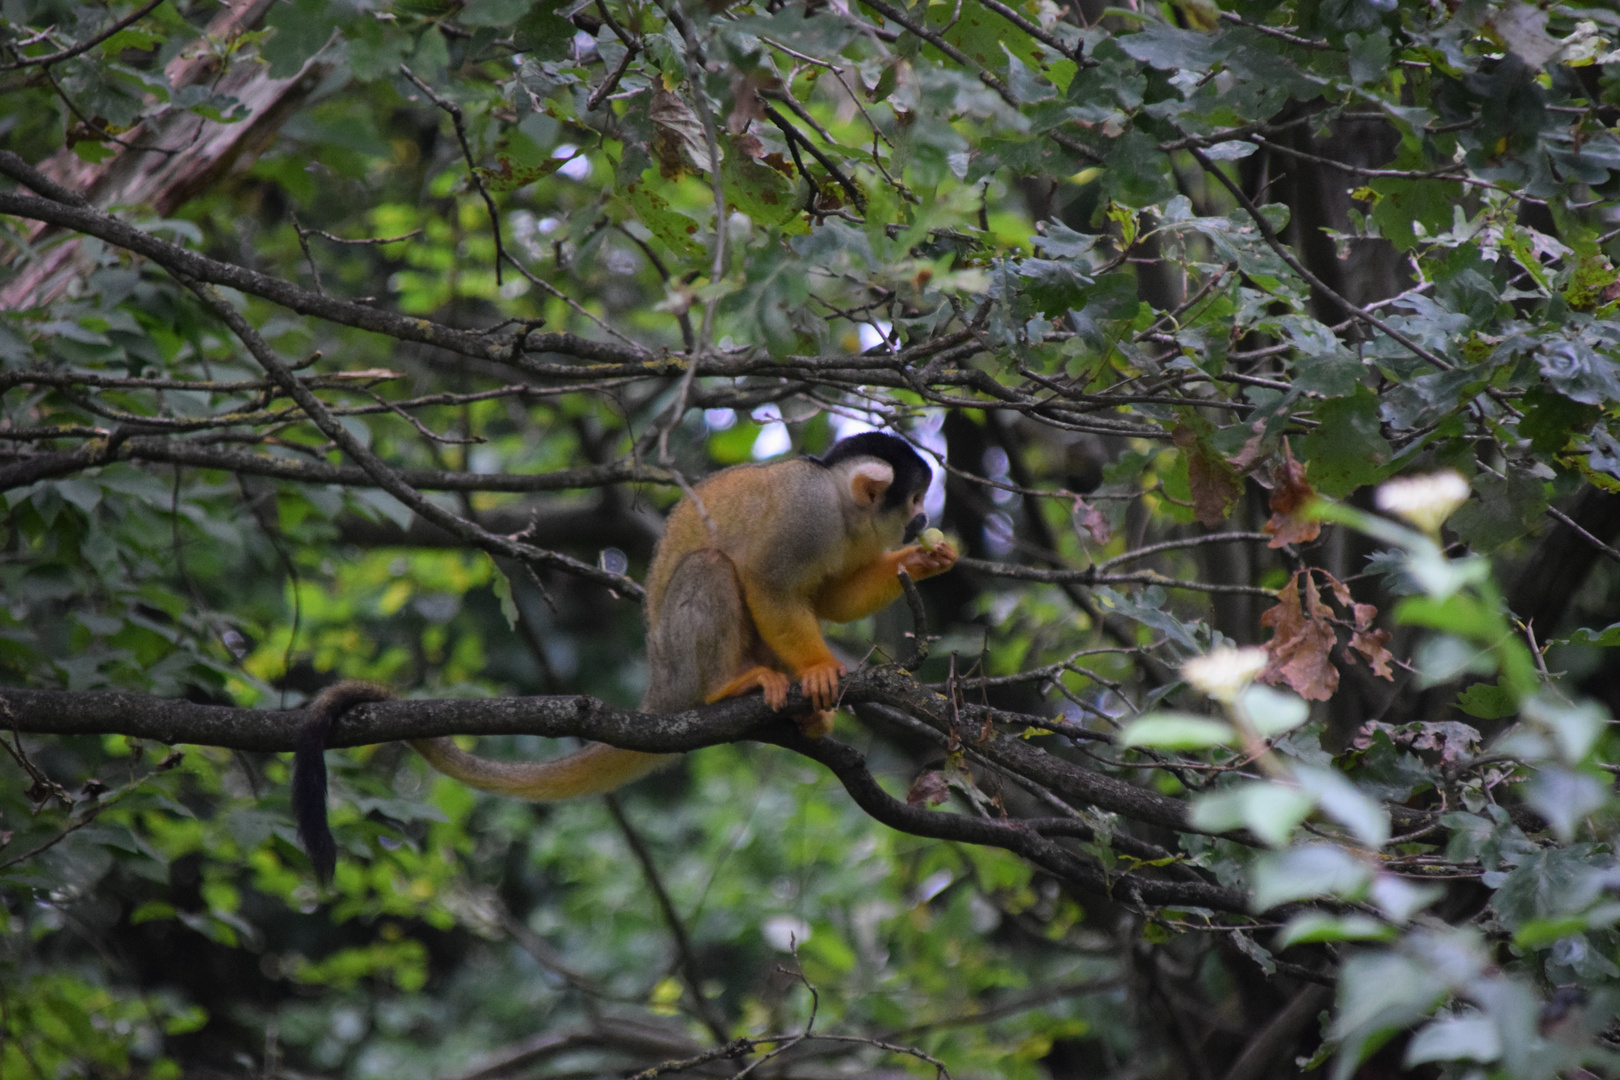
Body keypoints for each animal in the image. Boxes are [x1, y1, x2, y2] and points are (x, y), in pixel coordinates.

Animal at [293, 430, 952, 880]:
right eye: (914, 496)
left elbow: (831, 600)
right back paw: (728, 685)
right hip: (680, 657)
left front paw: (923, 560)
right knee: (713, 570)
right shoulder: (805, 517)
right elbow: (770, 584)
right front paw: (818, 669)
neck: (842, 511)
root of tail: (660, 684)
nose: (923, 516)